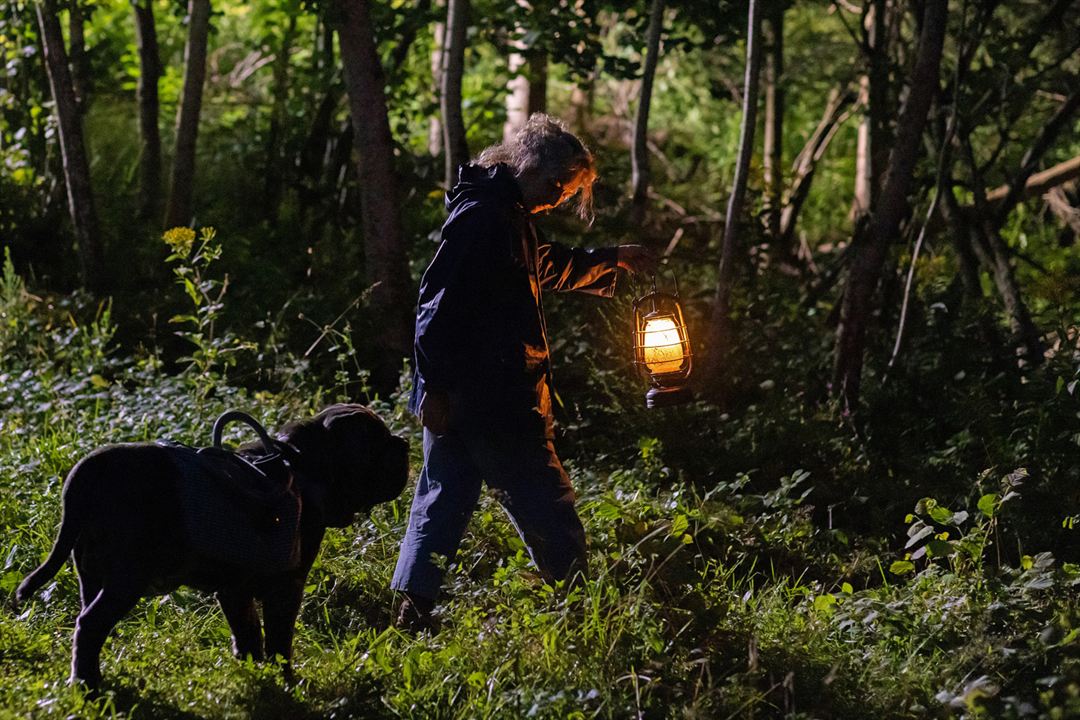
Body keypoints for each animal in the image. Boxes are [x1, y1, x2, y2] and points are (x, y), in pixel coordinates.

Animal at [12, 403, 408, 690]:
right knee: (91, 624)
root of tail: (90, 470)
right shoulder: (286, 587)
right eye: (380, 441)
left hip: (90, 573)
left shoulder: (235, 589)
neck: (304, 465)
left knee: (86, 623)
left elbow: (247, 633)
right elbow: (279, 639)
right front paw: (286, 679)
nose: (404, 442)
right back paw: (88, 684)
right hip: (126, 579)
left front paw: (253, 672)